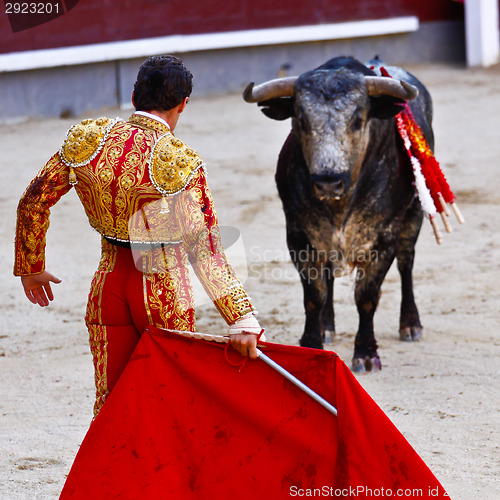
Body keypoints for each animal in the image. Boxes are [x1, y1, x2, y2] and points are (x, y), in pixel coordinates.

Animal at [243, 57, 434, 372]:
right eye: (302, 120)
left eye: (357, 120)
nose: (328, 181)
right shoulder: (299, 236)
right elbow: (314, 295)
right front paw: (312, 342)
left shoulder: (384, 239)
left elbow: (366, 297)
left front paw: (366, 353)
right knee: (329, 278)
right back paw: (327, 327)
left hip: (415, 212)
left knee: (406, 264)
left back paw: (411, 324)